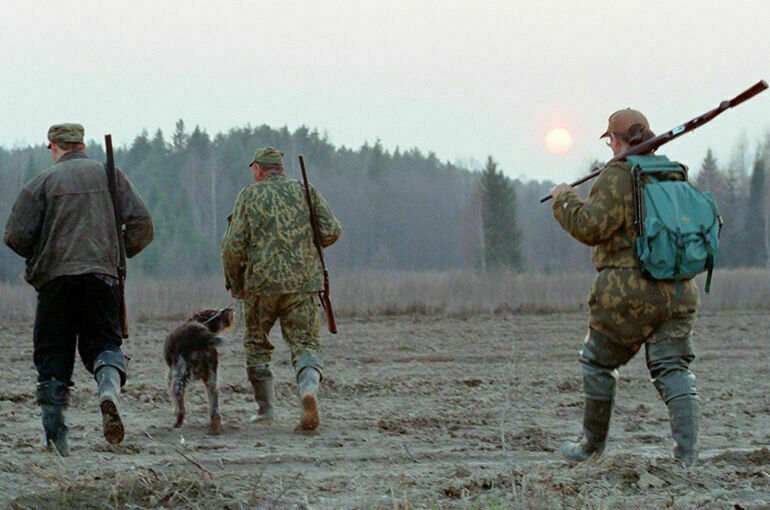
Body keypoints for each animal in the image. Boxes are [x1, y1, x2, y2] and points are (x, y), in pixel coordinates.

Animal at [162, 306, 234, 434]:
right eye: (214, 313)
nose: (229, 310)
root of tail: (200, 336)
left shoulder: (171, 375)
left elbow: (173, 398)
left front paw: (174, 410)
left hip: (179, 380)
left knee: (181, 407)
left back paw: (177, 424)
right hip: (211, 380)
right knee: (215, 408)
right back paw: (215, 427)